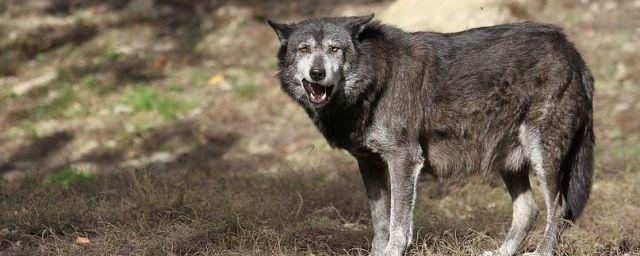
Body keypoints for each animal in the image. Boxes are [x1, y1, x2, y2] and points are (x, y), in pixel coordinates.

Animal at [266, 14, 596, 256]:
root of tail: (573, 51)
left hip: (542, 154)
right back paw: (502, 252)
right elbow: (380, 223)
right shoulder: (369, 164)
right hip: (508, 161)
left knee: (558, 207)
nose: (317, 73)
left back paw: (542, 252)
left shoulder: (404, 159)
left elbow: (398, 226)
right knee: (528, 209)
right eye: (304, 49)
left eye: (335, 49)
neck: (375, 81)